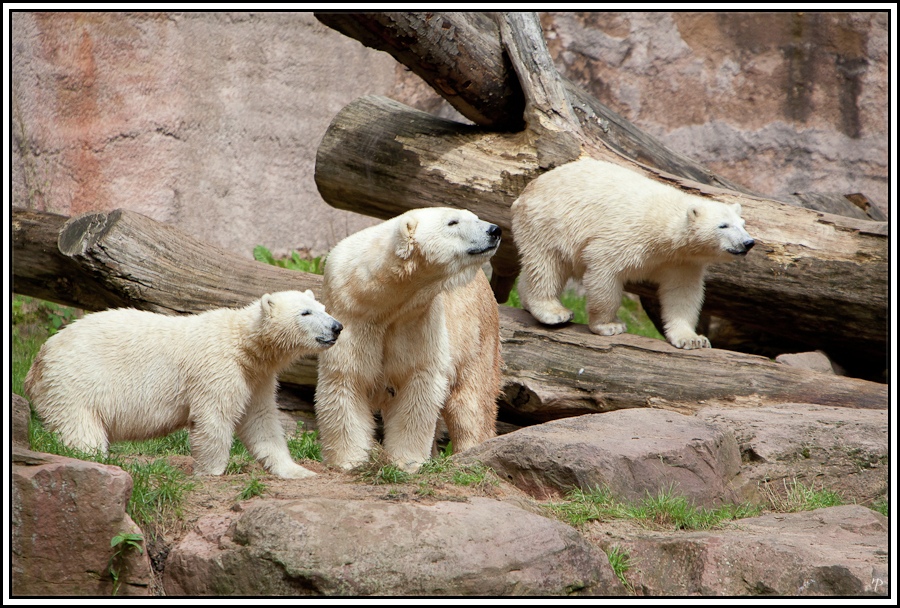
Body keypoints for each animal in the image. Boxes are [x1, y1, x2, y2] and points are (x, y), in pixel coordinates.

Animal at [24, 290, 342, 480]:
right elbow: (213, 419)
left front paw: (298, 471)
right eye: (305, 313)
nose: (337, 326)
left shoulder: (257, 379)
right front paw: (211, 471)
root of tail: (38, 361)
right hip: (74, 382)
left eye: (323, 307)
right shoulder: (217, 369)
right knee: (80, 431)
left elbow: (261, 421)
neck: (243, 344)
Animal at [312, 207, 502, 472]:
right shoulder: (350, 312)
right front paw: (349, 461)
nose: (494, 230)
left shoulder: (417, 320)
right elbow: (347, 378)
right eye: (453, 222)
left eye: (474, 216)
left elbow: (417, 383)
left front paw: (405, 462)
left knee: (471, 404)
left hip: (476, 335)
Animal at [510, 157, 756, 350]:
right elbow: (604, 271)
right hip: (548, 223)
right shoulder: (625, 235)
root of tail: (527, 190)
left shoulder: (682, 261)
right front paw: (609, 325)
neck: (664, 230)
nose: (748, 242)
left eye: (742, 224)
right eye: (723, 225)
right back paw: (553, 312)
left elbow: (682, 292)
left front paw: (692, 339)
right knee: (547, 264)